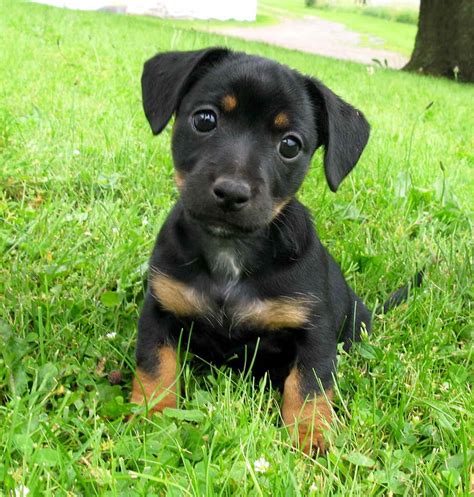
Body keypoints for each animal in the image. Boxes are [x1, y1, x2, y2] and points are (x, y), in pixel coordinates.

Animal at [131, 47, 372, 454]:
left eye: (290, 144)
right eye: (205, 119)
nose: (232, 192)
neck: (231, 253)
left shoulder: (316, 333)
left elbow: (309, 385)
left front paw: (310, 436)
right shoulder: (160, 308)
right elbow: (155, 366)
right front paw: (153, 418)